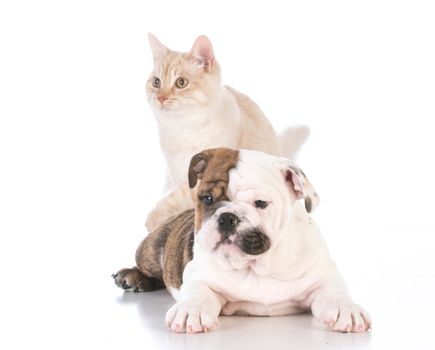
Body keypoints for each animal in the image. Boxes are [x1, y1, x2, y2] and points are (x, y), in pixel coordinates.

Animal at [112, 148, 372, 334]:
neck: (257, 265)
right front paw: (190, 310)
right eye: (207, 199)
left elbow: (335, 291)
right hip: (150, 250)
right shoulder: (198, 274)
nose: (227, 217)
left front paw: (347, 309)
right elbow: (198, 291)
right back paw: (131, 277)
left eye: (261, 203)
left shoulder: (322, 275)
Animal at [145, 33, 308, 232]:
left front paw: (154, 220)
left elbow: (176, 198)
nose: (160, 98)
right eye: (156, 82)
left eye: (181, 83)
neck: (182, 128)